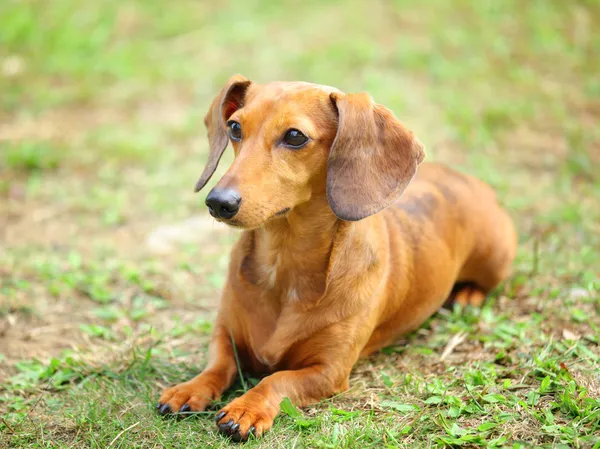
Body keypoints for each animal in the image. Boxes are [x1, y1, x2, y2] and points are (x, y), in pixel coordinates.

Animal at [157, 75, 516, 440]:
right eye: (234, 127)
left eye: (295, 136)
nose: (218, 202)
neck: (282, 266)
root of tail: (468, 178)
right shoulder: (224, 335)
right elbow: (218, 364)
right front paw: (190, 388)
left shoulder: (328, 371)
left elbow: (276, 380)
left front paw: (247, 407)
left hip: (494, 258)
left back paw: (468, 295)